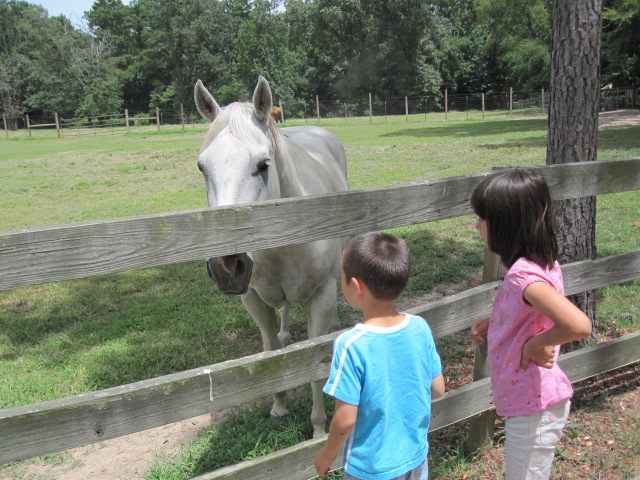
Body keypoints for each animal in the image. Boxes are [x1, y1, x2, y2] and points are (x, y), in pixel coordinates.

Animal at [194, 76, 348, 438]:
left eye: (263, 165)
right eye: (202, 166)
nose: (225, 267)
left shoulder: (321, 296)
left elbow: (313, 362)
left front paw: (319, 429)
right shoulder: (252, 298)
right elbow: (270, 355)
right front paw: (278, 406)